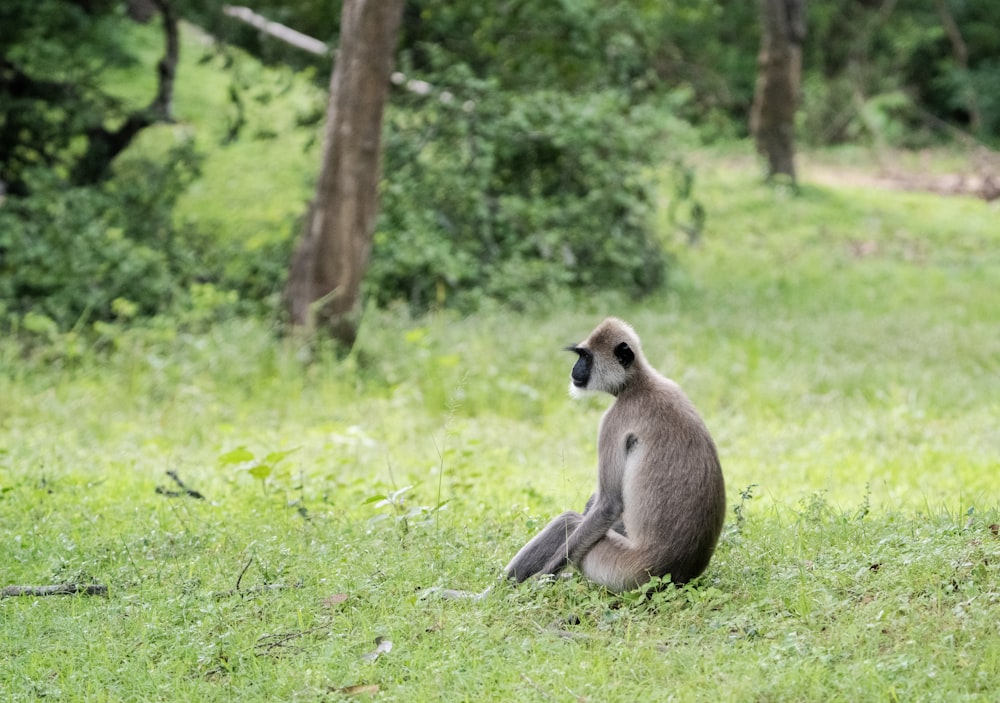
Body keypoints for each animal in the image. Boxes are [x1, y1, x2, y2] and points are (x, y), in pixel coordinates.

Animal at [504, 316, 724, 592]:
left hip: (620, 568)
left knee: (570, 521)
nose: (575, 369)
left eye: (586, 357)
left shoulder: (614, 419)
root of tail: (679, 576)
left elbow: (609, 504)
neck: (638, 384)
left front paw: (539, 581)